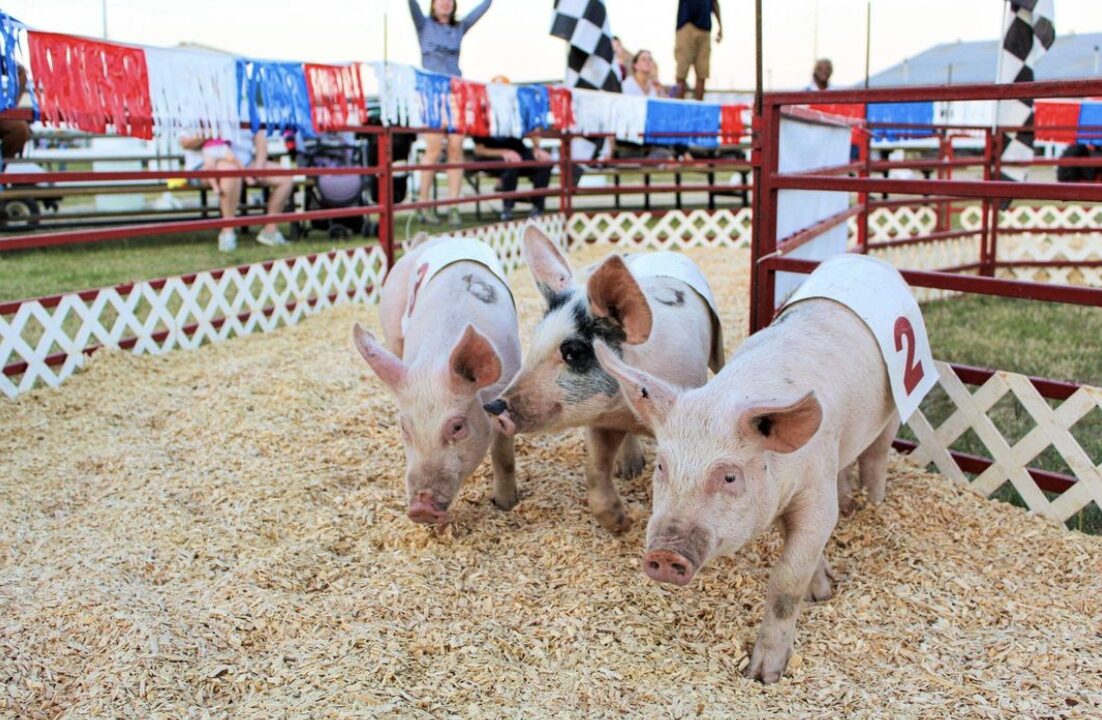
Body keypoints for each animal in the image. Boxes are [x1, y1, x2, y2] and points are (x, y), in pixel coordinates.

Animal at [599, 253, 934, 683]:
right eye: (661, 466)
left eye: (729, 476)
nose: (664, 554)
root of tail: (866, 260)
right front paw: (822, 587)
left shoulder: (815, 495)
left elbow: (786, 582)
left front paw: (763, 674)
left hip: (893, 410)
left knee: (876, 457)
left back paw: (872, 506)